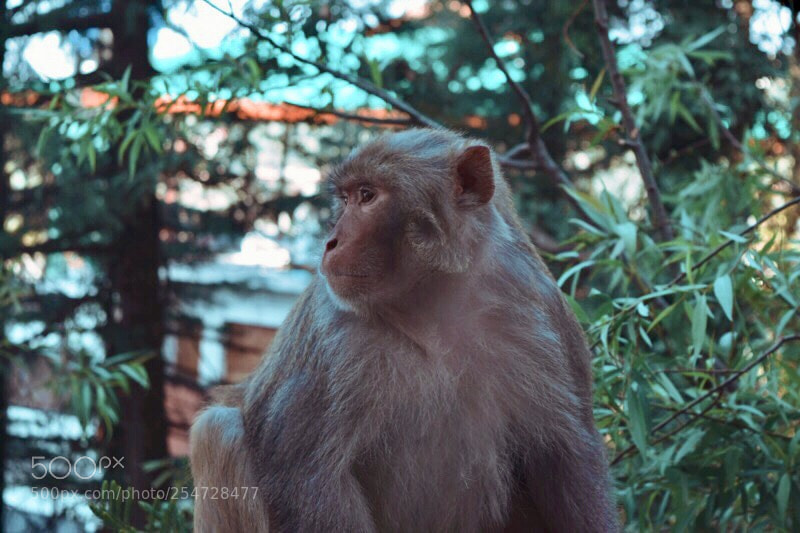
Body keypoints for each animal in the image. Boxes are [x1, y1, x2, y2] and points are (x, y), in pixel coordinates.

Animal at [190, 128, 618, 532]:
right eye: (345, 198)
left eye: (367, 196)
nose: (330, 242)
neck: (433, 306)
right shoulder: (330, 330)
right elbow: (305, 473)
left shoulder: (541, 310)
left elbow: (566, 455)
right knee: (219, 430)